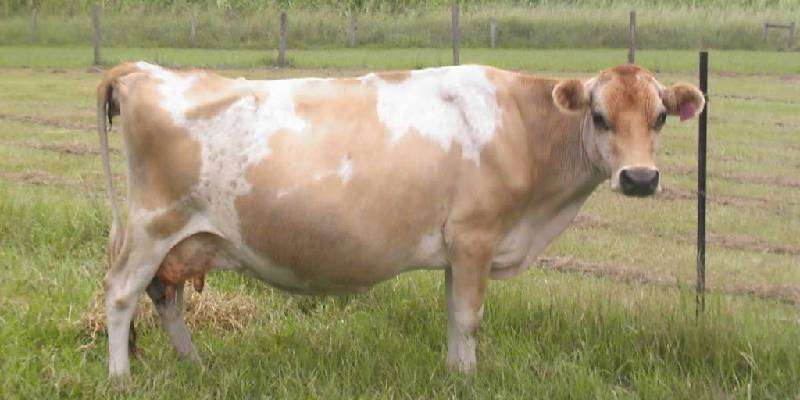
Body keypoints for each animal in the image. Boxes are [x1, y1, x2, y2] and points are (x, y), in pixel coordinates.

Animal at [97, 62, 704, 378]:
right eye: (599, 116)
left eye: (660, 117)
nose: (640, 178)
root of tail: (141, 70)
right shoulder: (476, 237)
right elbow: (469, 317)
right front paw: (467, 378)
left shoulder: (458, 248)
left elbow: (453, 315)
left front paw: (454, 373)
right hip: (152, 226)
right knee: (122, 295)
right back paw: (121, 376)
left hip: (184, 238)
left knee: (166, 298)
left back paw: (195, 365)